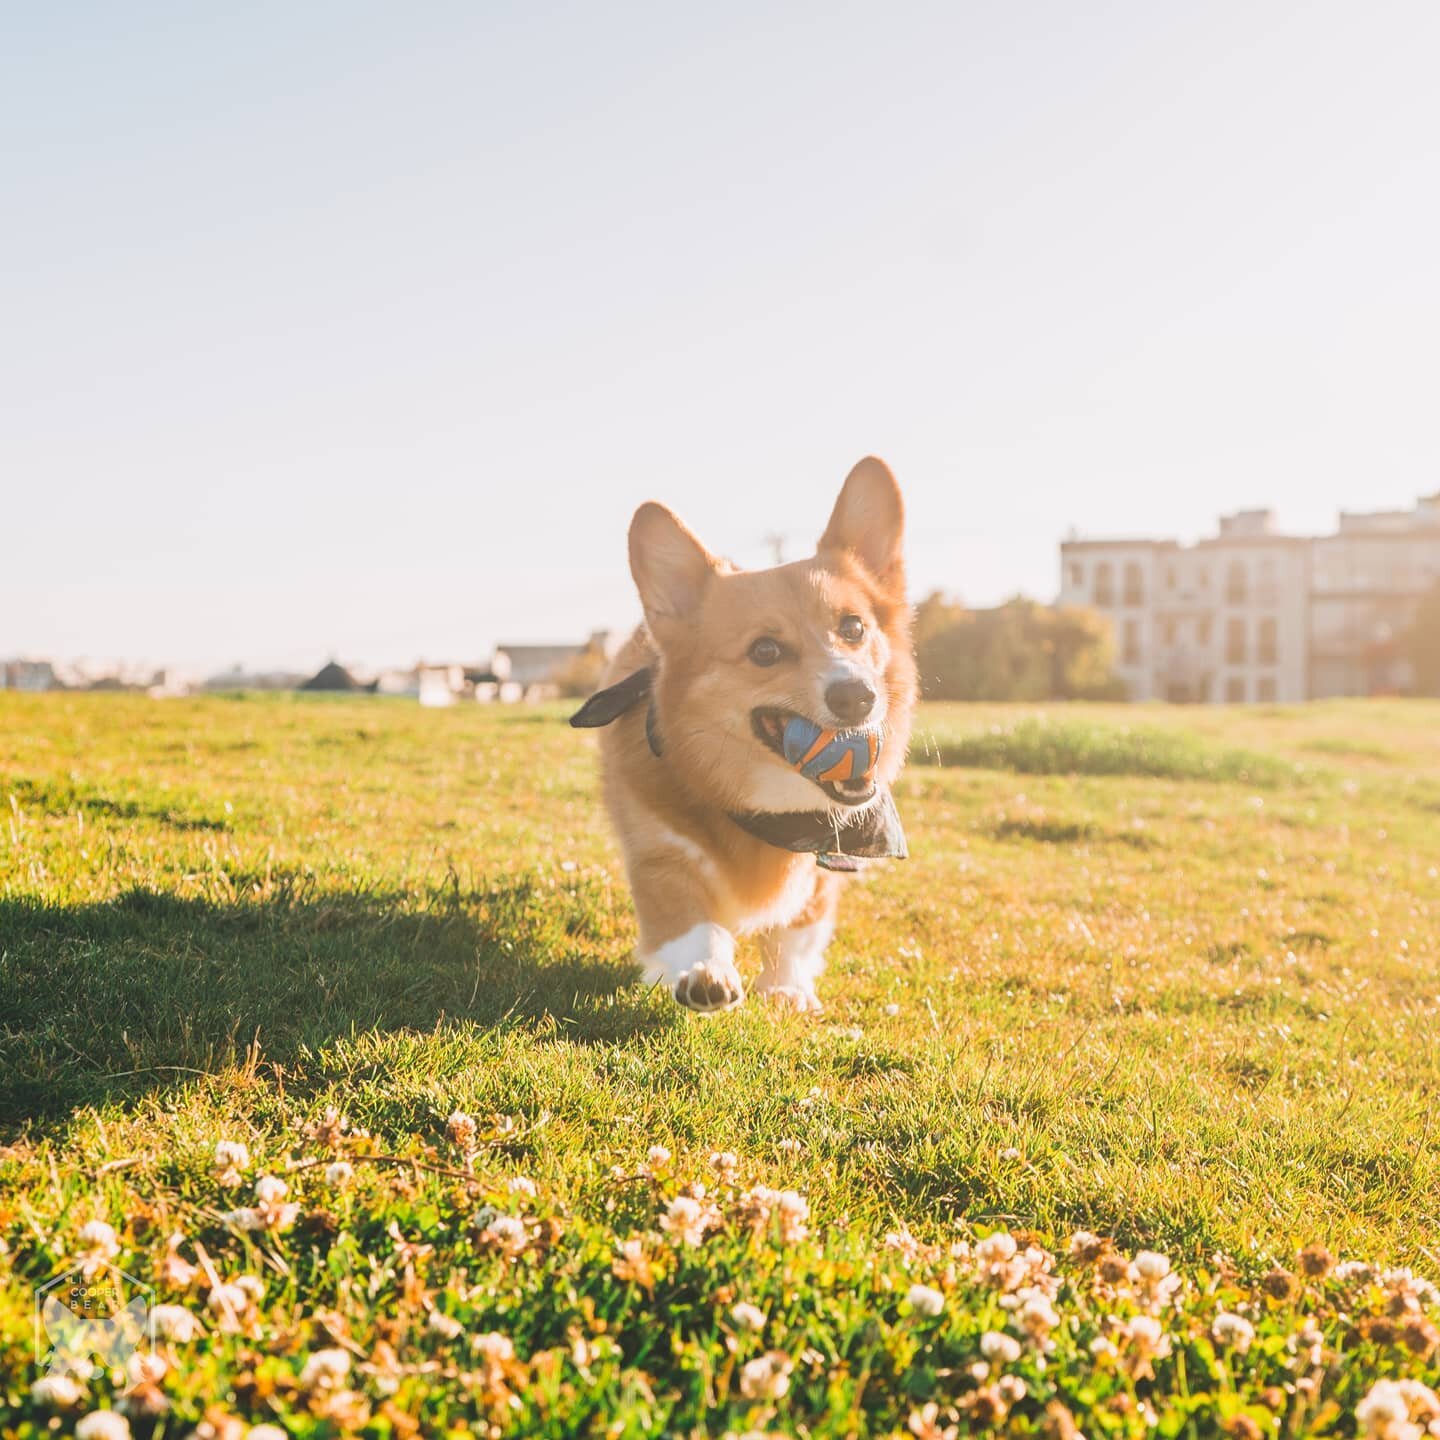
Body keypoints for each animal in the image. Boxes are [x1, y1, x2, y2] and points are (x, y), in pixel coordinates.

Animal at [570, 457, 915, 1013]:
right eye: (765, 651)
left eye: (854, 628)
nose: (857, 696)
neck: (772, 813)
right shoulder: (660, 854)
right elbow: (689, 918)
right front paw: (705, 971)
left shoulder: (826, 861)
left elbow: (796, 930)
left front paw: (787, 989)